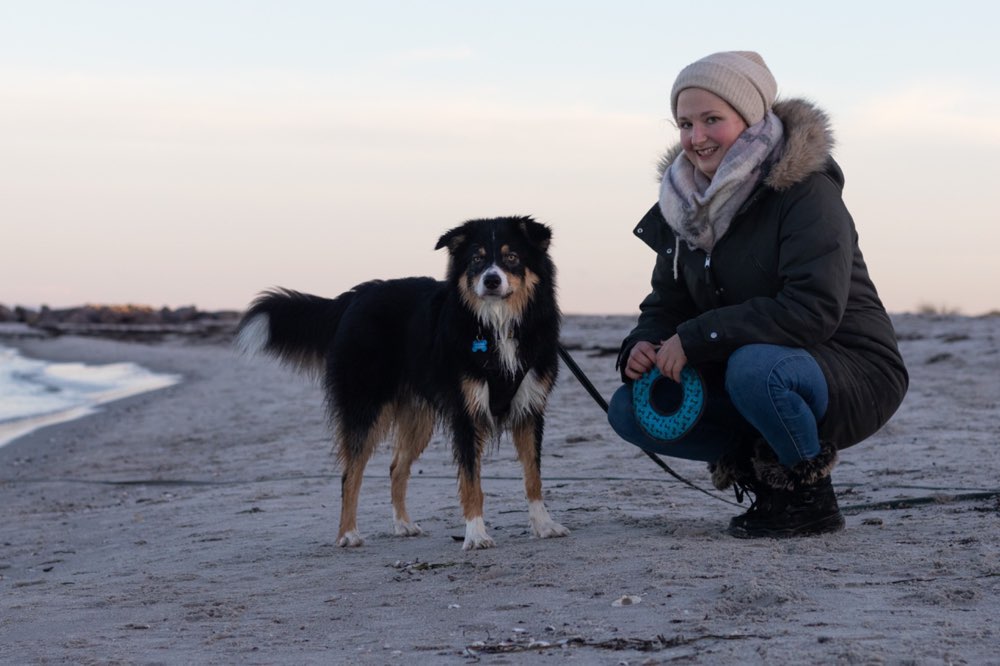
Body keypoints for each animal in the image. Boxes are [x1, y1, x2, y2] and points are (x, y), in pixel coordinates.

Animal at [230, 215, 568, 548]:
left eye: (512, 258)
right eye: (477, 259)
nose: (491, 281)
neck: (498, 324)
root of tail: (354, 297)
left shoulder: (530, 408)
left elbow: (533, 476)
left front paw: (543, 525)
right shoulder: (465, 413)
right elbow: (472, 481)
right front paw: (476, 534)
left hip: (418, 417)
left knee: (396, 468)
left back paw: (402, 525)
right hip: (365, 405)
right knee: (350, 473)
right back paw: (348, 534)